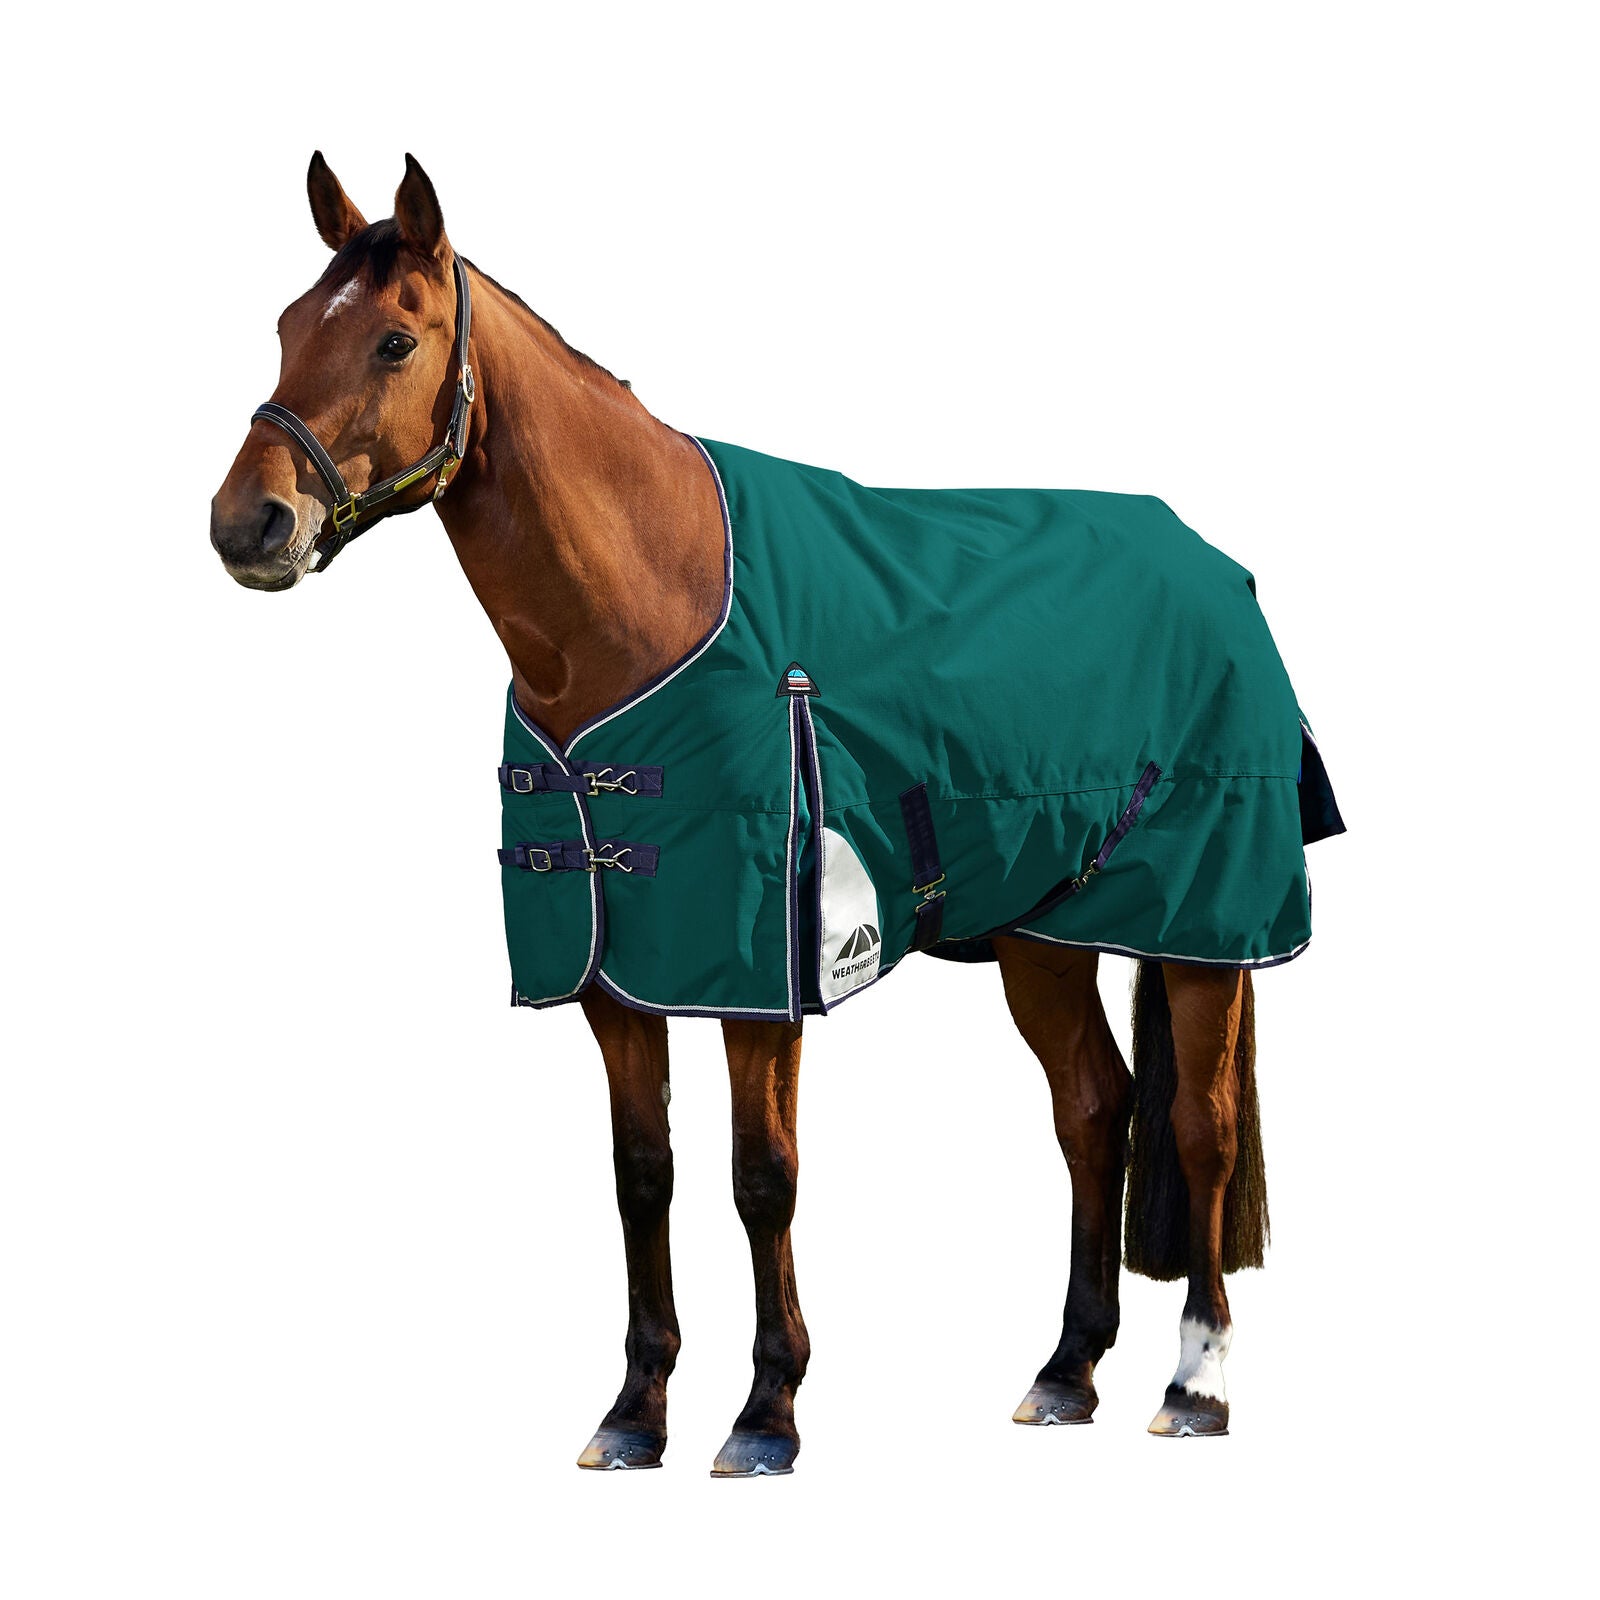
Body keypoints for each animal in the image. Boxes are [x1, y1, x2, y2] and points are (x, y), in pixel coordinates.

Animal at [210, 152, 1318, 1474]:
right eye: (285, 328)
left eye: (392, 339)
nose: (247, 525)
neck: (652, 601)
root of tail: (1217, 567)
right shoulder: (616, 976)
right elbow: (643, 1174)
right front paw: (635, 1412)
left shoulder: (761, 976)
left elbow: (762, 1176)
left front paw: (765, 1412)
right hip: (1043, 933)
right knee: (1095, 1111)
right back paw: (1064, 1370)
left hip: (1202, 926)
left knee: (1197, 1127)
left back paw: (1194, 1384)